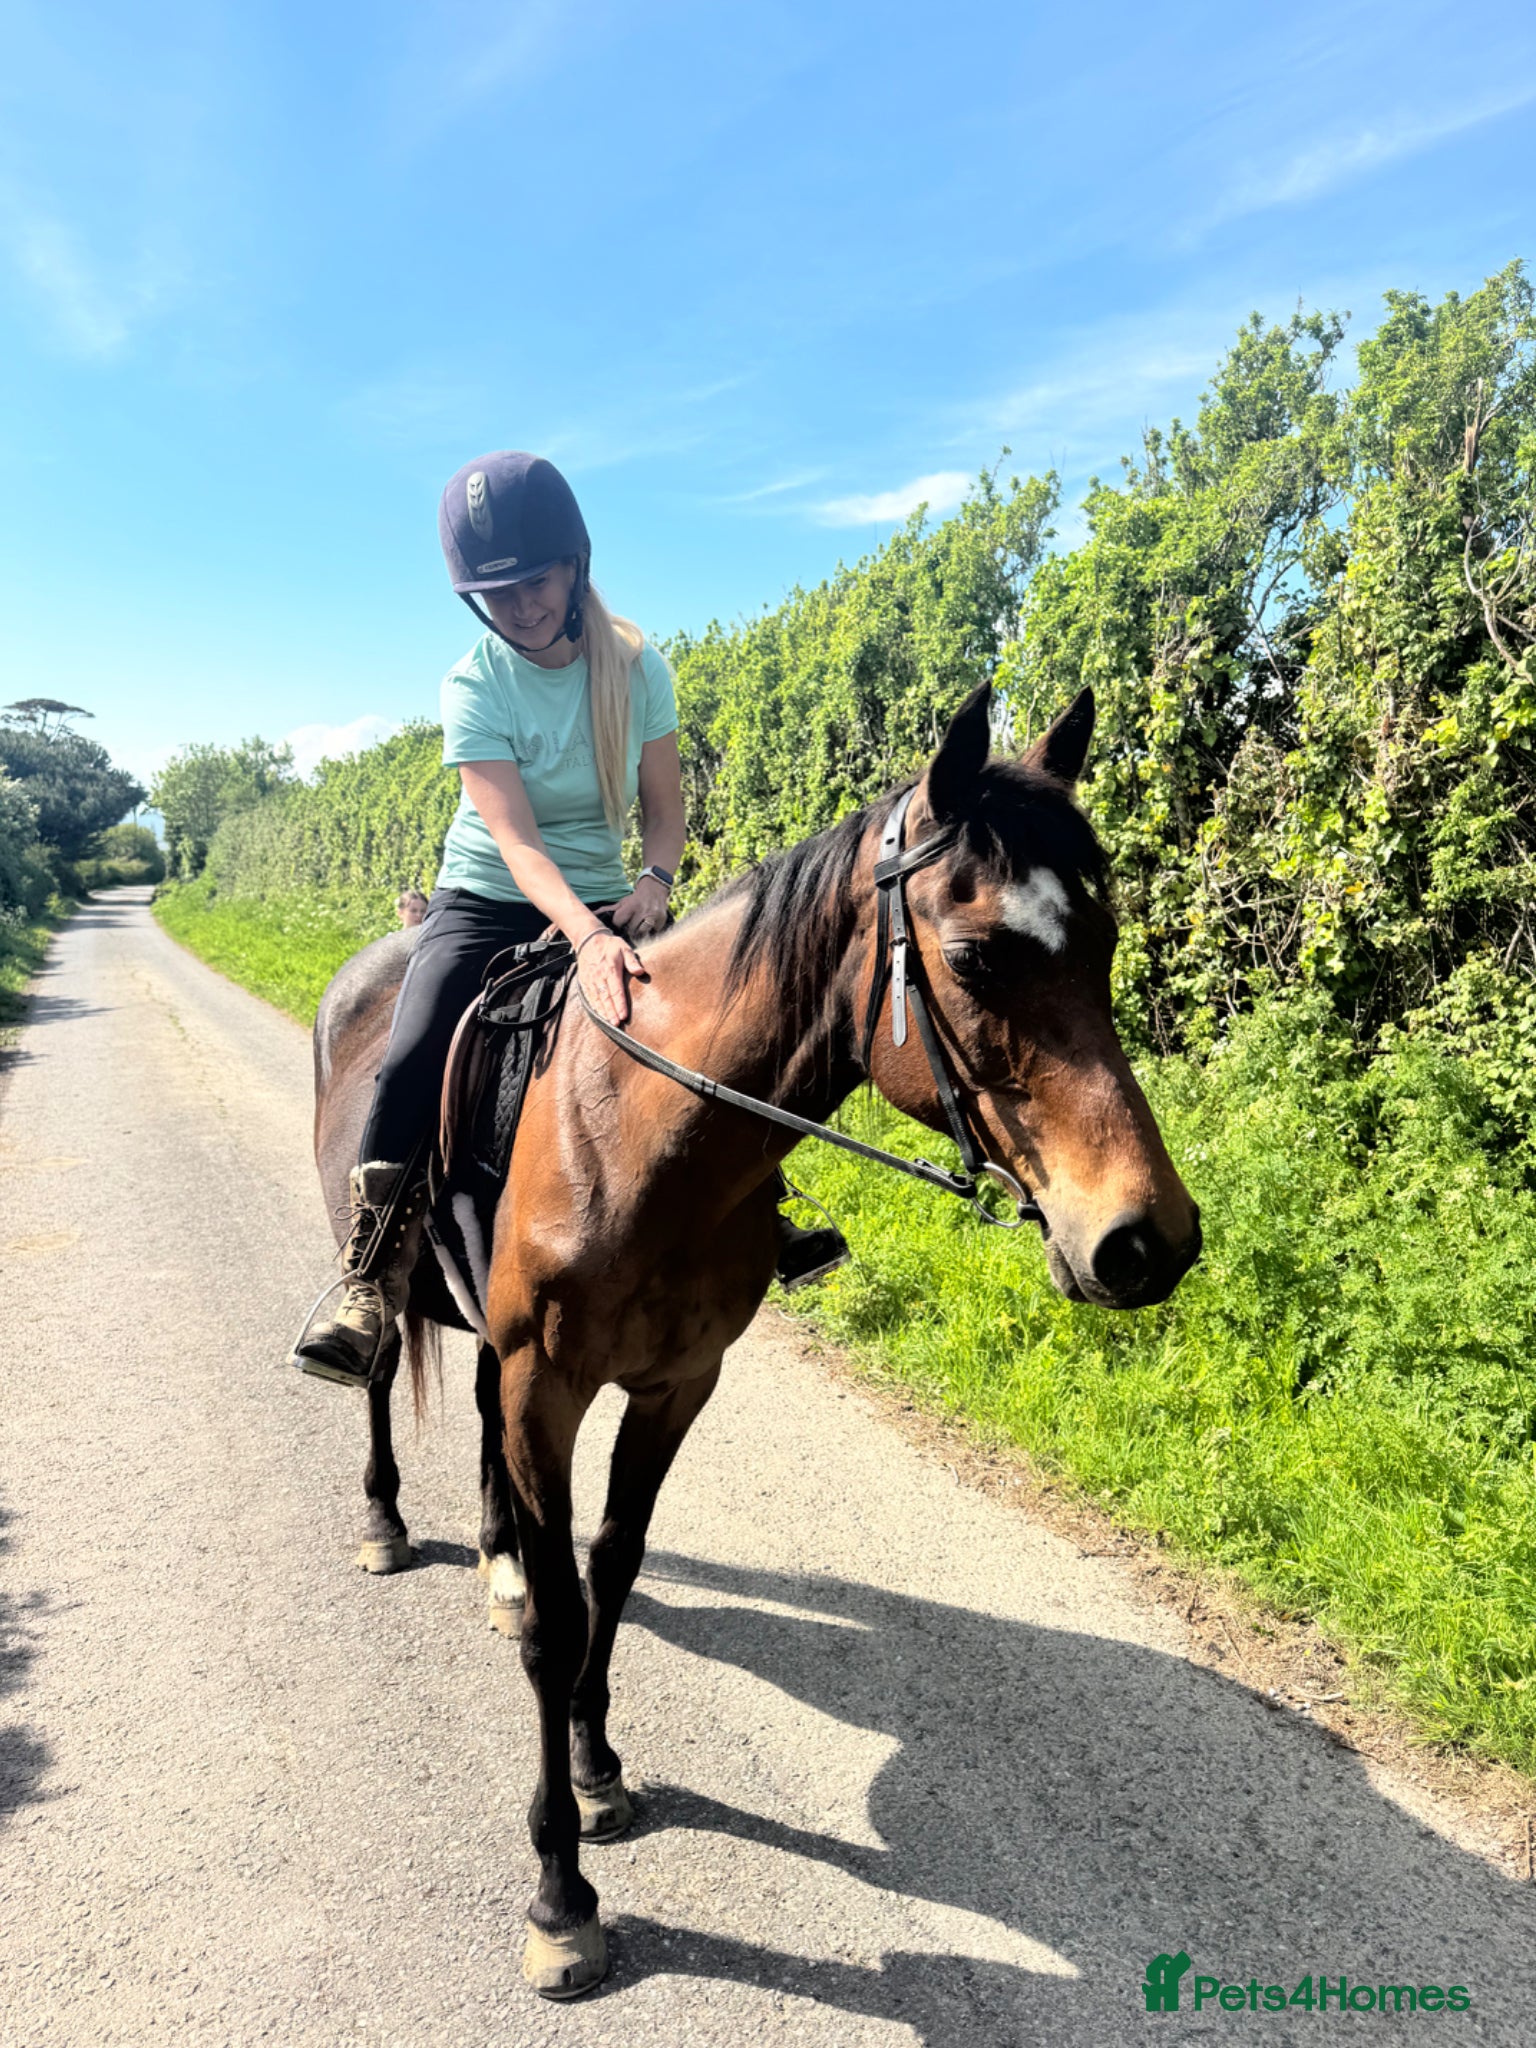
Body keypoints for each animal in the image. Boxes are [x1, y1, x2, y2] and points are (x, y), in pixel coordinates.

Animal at [307, 682, 1201, 1998]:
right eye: (977, 955)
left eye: (1104, 938)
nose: (1148, 1239)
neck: (641, 1135)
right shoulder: (549, 1382)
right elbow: (569, 1613)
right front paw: (561, 1892)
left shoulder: (674, 1382)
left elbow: (613, 1564)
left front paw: (598, 1762)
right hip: (381, 1261)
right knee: (374, 1373)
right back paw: (384, 1519)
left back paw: (497, 1558)